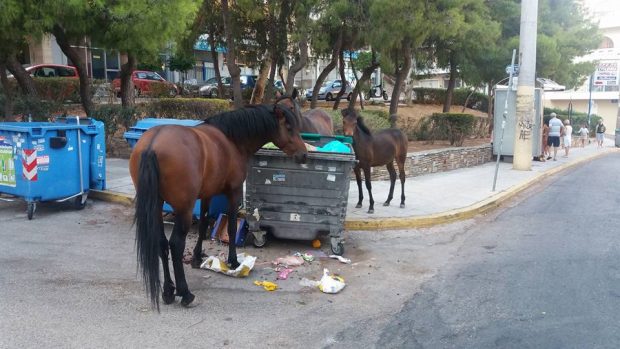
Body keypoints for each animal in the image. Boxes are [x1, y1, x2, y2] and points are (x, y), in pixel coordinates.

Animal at [130, 92, 308, 308]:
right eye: (289, 127)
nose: (304, 155)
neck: (232, 139)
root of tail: (152, 145)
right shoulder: (233, 192)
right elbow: (231, 228)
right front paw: (233, 261)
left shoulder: (207, 194)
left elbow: (204, 224)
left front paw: (197, 257)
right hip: (184, 209)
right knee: (175, 245)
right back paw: (185, 293)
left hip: (156, 207)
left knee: (162, 244)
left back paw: (168, 291)